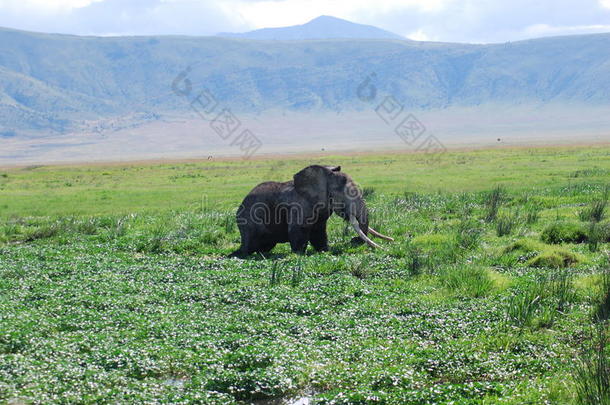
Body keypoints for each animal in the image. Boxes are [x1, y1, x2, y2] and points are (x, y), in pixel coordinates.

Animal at [226, 163, 392, 256]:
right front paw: (299, 254)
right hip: (249, 222)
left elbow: (319, 231)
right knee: (250, 246)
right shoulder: (299, 205)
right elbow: (299, 229)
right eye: (344, 195)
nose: (353, 241)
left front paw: (325, 251)